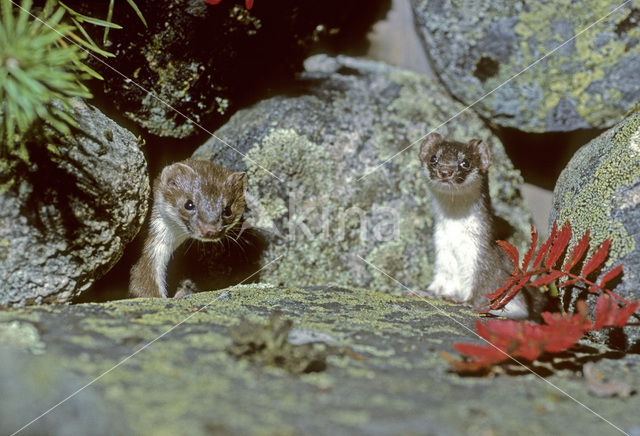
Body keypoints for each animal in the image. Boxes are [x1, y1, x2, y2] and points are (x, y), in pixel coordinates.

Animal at [416, 131, 540, 318]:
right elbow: (442, 281)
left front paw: (467, 302)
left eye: (465, 162)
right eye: (433, 158)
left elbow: (485, 287)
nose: (445, 171)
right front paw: (426, 292)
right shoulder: (443, 252)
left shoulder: (485, 256)